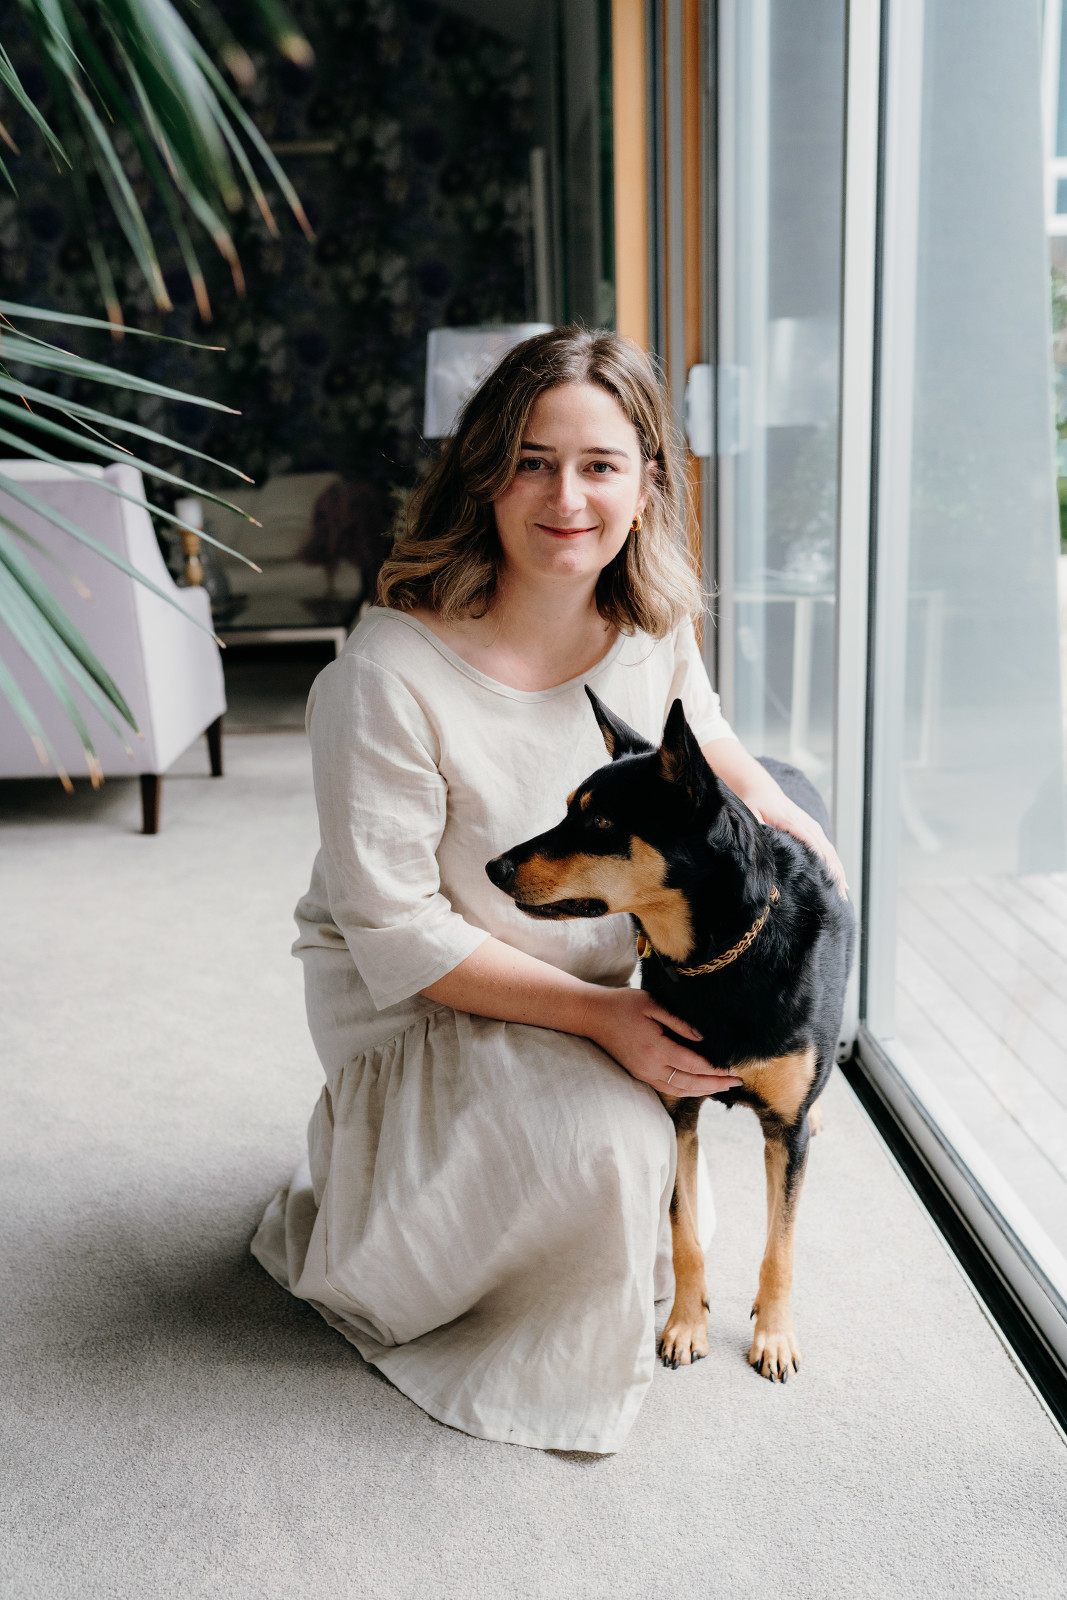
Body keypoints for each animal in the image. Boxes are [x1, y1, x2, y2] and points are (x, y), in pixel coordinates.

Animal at [486, 689, 855, 1382]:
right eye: (568, 810)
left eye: (602, 823)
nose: (493, 867)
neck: (719, 956)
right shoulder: (677, 1106)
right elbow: (684, 1234)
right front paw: (685, 1324)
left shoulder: (783, 1136)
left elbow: (781, 1248)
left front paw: (774, 1336)